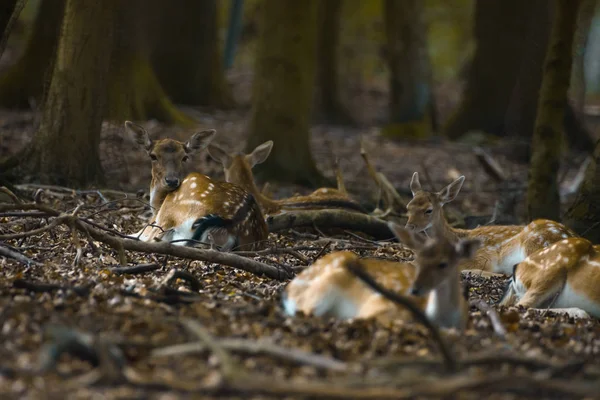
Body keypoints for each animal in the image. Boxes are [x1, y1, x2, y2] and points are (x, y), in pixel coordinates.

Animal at [124, 119, 268, 250]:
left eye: (185, 157)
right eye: (153, 156)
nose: (172, 180)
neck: (156, 205)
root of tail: (231, 222)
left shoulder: (153, 222)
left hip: (170, 214)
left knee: (152, 239)